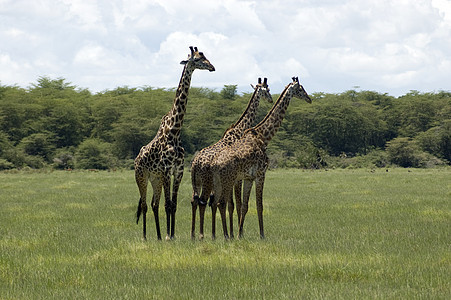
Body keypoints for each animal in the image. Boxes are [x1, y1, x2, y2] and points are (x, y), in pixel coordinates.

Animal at [134, 45, 215, 240]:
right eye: (197, 59)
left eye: (205, 56)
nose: (212, 67)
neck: (175, 131)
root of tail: (136, 159)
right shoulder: (166, 171)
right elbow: (168, 204)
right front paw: (168, 236)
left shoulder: (177, 171)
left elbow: (174, 204)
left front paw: (171, 235)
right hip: (141, 177)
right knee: (145, 205)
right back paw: (145, 236)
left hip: (154, 179)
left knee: (154, 204)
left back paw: (157, 236)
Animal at [190, 77, 272, 239]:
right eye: (267, 90)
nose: (271, 99)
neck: (239, 130)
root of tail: (195, 164)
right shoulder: (237, 178)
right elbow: (234, 204)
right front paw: (234, 233)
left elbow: (230, 204)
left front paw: (232, 233)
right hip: (208, 182)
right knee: (204, 201)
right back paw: (203, 235)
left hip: (197, 182)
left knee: (195, 201)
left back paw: (194, 235)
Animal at [211, 77, 310, 239]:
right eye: (300, 89)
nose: (309, 99)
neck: (263, 136)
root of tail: (213, 164)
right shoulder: (260, 174)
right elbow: (259, 205)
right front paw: (262, 234)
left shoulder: (248, 177)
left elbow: (244, 206)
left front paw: (240, 234)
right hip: (228, 180)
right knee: (221, 203)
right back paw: (225, 235)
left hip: (220, 181)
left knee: (215, 203)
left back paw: (218, 235)